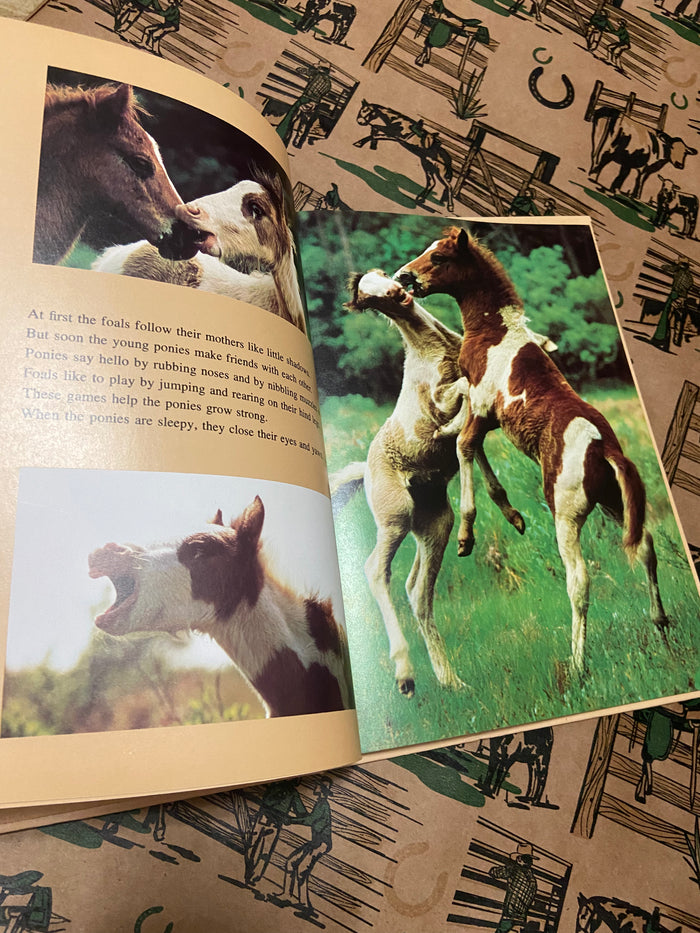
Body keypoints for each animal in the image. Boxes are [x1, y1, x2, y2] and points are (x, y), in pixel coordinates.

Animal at [395, 227, 668, 675]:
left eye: (438, 258)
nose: (403, 277)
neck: (496, 335)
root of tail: (604, 449)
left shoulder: (482, 405)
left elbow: (464, 445)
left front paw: (467, 536)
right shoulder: (485, 412)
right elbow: (466, 440)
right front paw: (513, 516)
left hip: (566, 514)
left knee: (580, 581)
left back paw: (577, 664)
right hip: (615, 503)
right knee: (645, 547)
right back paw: (661, 625)